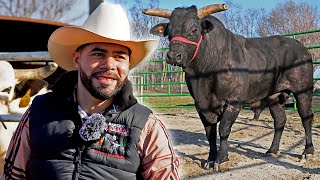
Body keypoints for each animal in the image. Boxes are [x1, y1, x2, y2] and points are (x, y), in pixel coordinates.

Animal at [144, 4, 314, 170]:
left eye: (194, 29)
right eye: (169, 31)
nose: (173, 56)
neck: (204, 75)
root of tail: (302, 48)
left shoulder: (233, 101)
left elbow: (224, 129)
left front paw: (221, 159)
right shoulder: (201, 105)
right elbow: (210, 134)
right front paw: (210, 159)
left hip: (303, 91)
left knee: (306, 117)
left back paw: (308, 152)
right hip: (275, 97)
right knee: (280, 120)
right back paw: (272, 150)